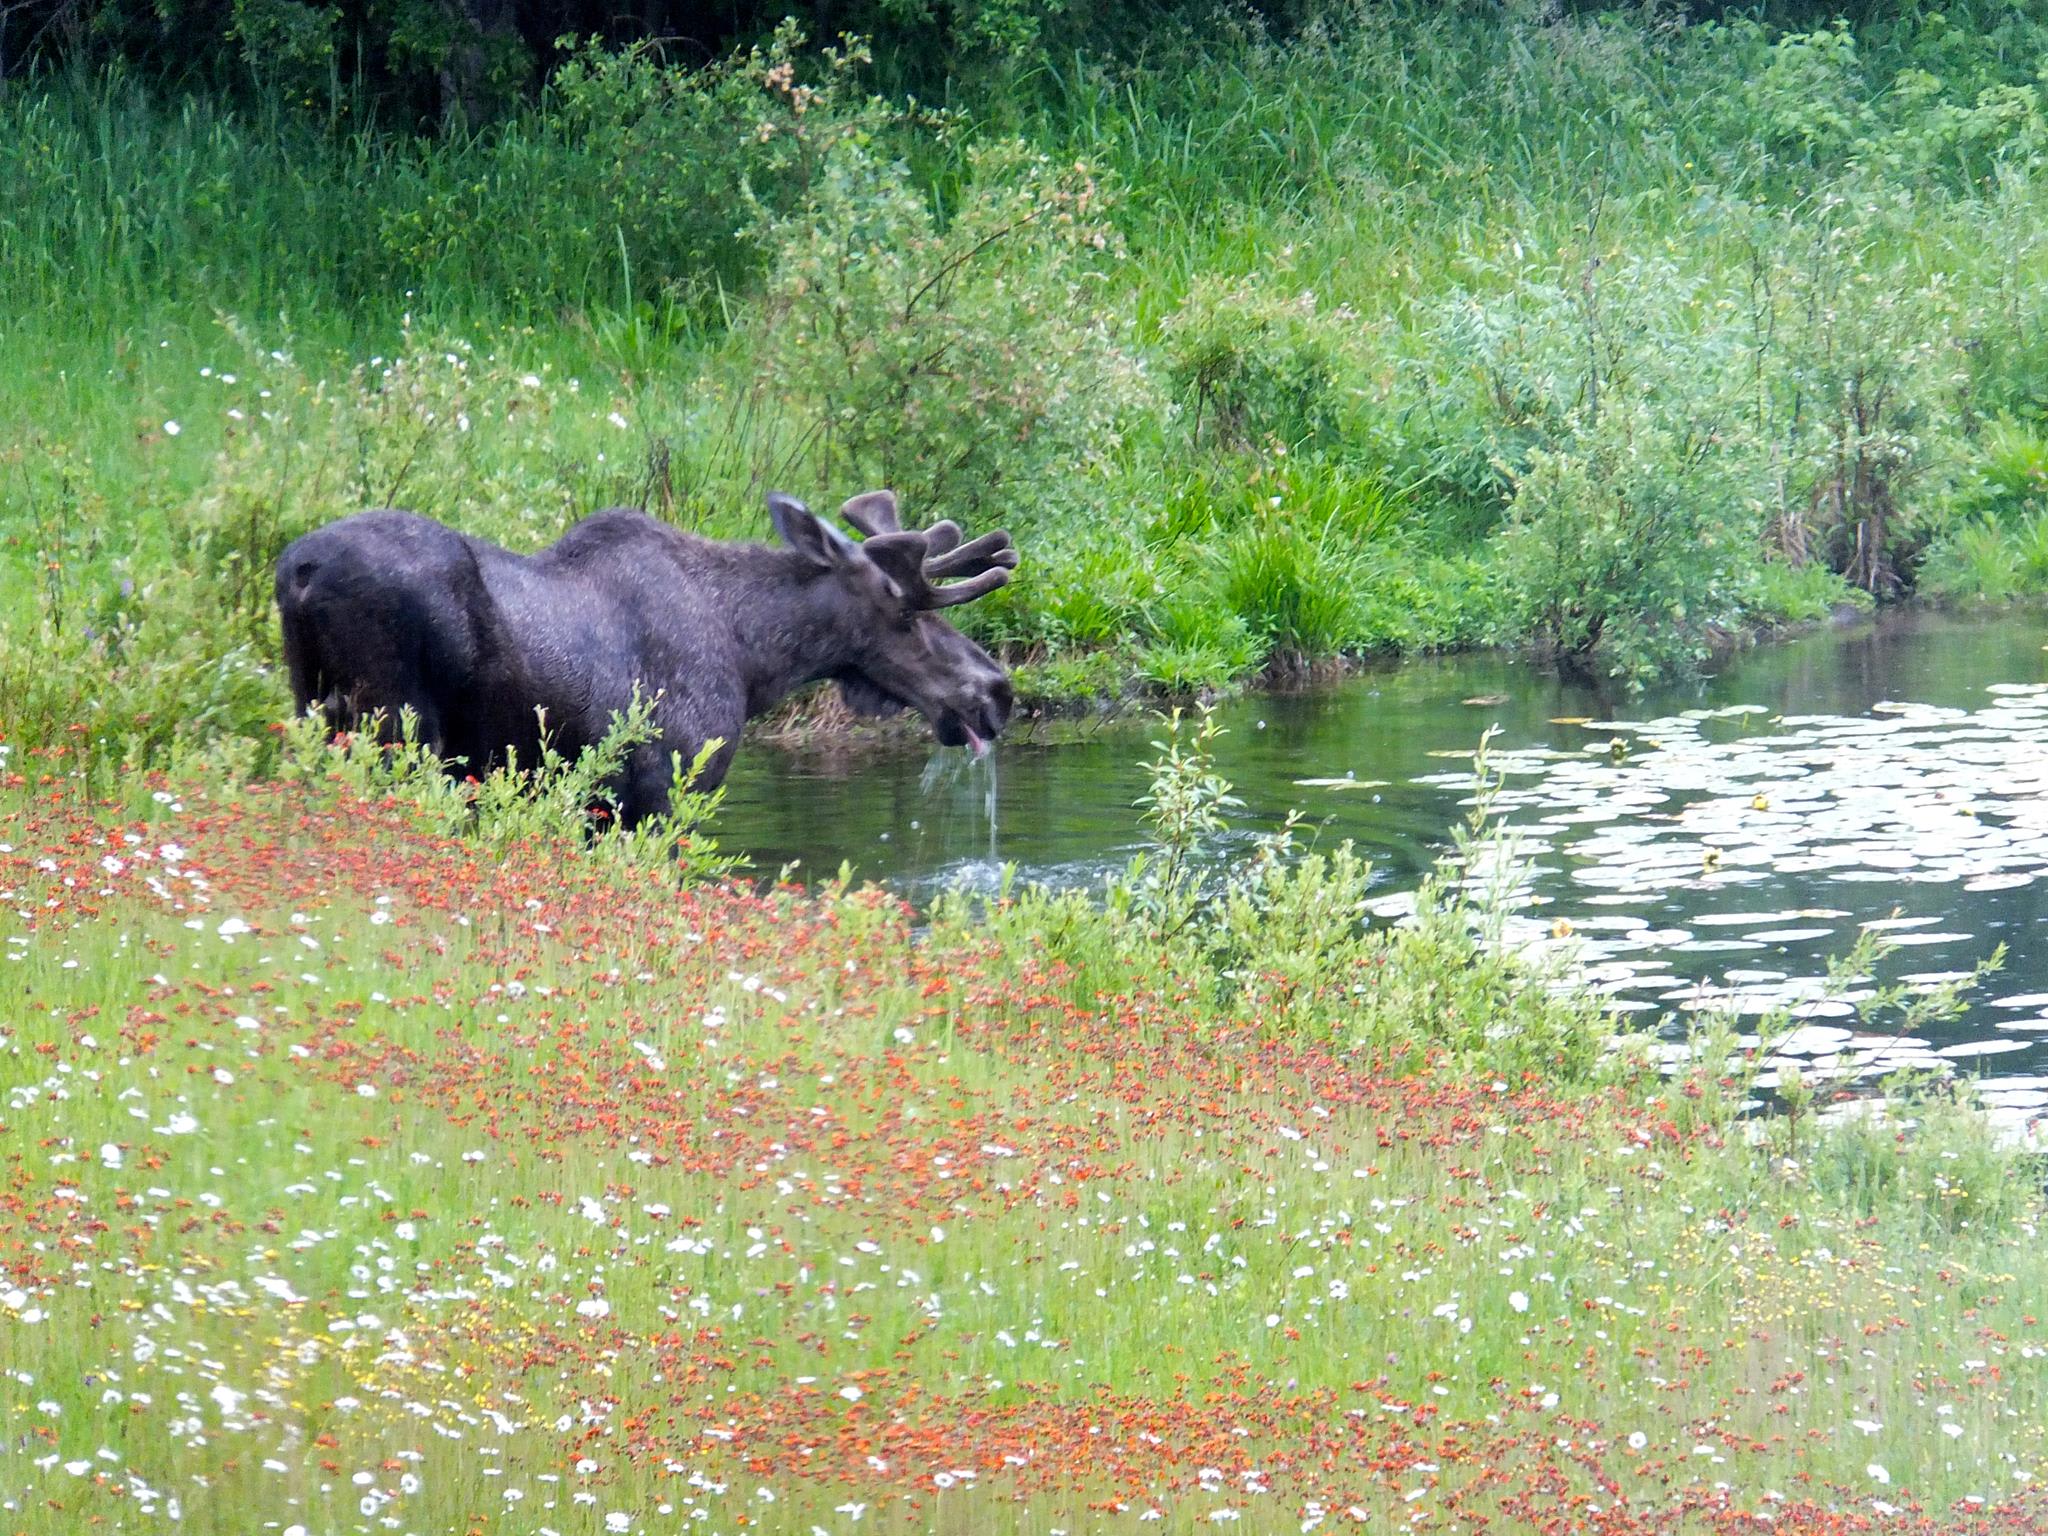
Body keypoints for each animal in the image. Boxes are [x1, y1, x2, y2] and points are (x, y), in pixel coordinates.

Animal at [273, 490, 1018, 825]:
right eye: (908, 613)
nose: (997, 691)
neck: (755, 660)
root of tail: (297, 573)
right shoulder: (668, 786)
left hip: (314, 708)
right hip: (397, 727)